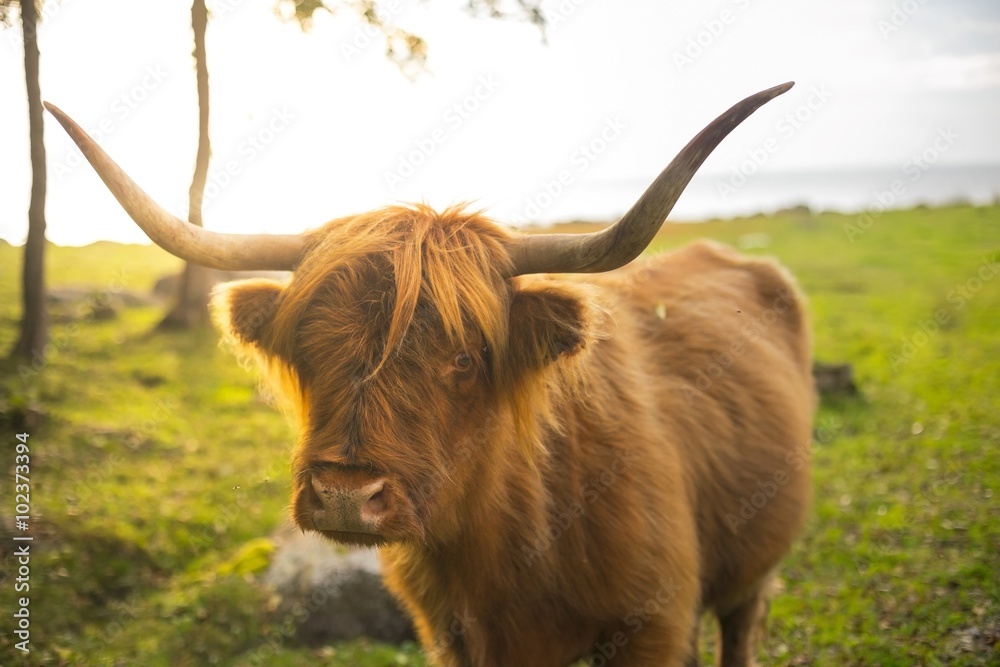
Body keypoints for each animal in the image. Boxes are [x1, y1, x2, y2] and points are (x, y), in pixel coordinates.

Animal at [47, 85, 812, 667]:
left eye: (466, 358)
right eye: (307, 351)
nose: (345, 496)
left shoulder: (651, 624)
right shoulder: (452, 637)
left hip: (755, 566)